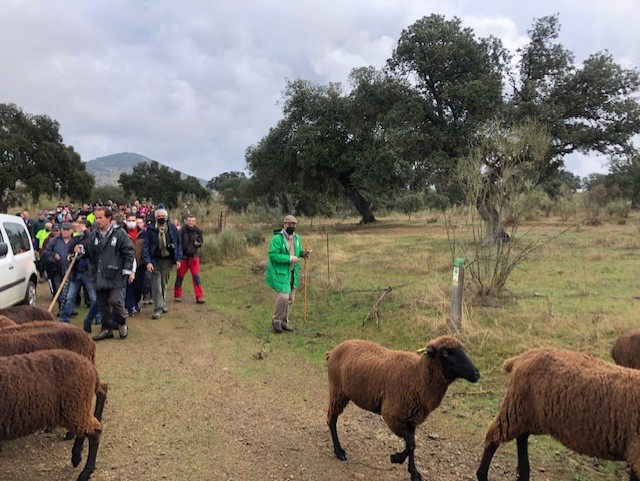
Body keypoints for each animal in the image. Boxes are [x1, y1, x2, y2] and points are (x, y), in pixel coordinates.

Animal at [0, 346, 107, 478]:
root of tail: (90, 366)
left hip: (74, 406)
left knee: (95, 432)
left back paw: (85, 472)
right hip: (78, 407)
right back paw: (76, 457)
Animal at [324, 336, 480, 480]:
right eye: (445, 354)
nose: (476, 374)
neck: (418, 376)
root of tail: (333, 350)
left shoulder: (411, 418)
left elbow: (412, 445)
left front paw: (414, 472)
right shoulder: (392, 416)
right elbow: (410, 444)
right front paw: (396, 458)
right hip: (337, 391)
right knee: (331, 419)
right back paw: (339, 452)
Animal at [476, 346, 640, 480]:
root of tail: (522, 356)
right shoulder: (636, 453)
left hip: (526, 412)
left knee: (521, 437)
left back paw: (523, 474)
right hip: (515, 406)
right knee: (494, 436)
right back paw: (482, 475)